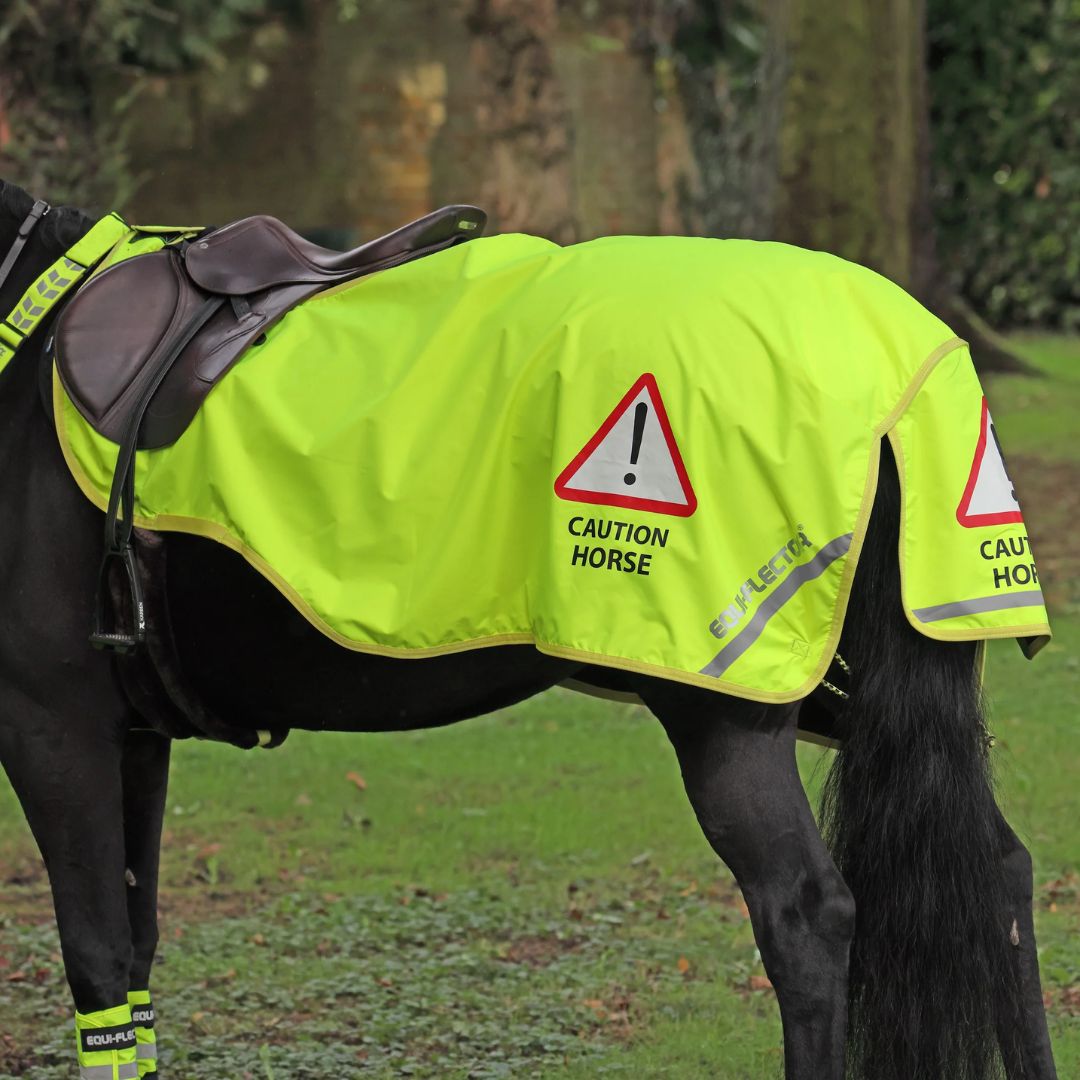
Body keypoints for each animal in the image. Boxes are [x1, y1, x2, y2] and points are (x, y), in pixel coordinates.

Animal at [0, 178, 1059, 1080]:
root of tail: (895, 358)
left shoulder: (53, 725)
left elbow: (97, 960)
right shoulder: (134, 734)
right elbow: (136, 953)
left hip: (724, 708)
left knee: (808, 916)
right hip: (845, 682)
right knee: (996, 875)